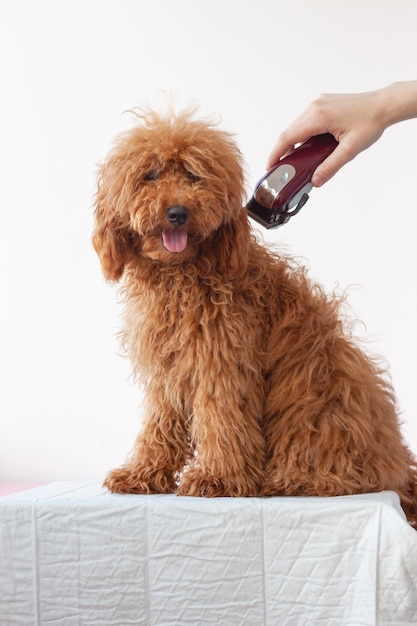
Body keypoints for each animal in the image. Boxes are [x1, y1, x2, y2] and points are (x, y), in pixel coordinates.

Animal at [93, 107, 416, 528]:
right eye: (150, 175)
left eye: (195, 175)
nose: (178, 213)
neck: (184, 275)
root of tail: (398, 468)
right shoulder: (168, 371)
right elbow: (160, 424)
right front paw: (143, 473)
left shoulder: (222, 363)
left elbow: (221, 419)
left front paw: (218, 478)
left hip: (320, 407)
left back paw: (285, 479)